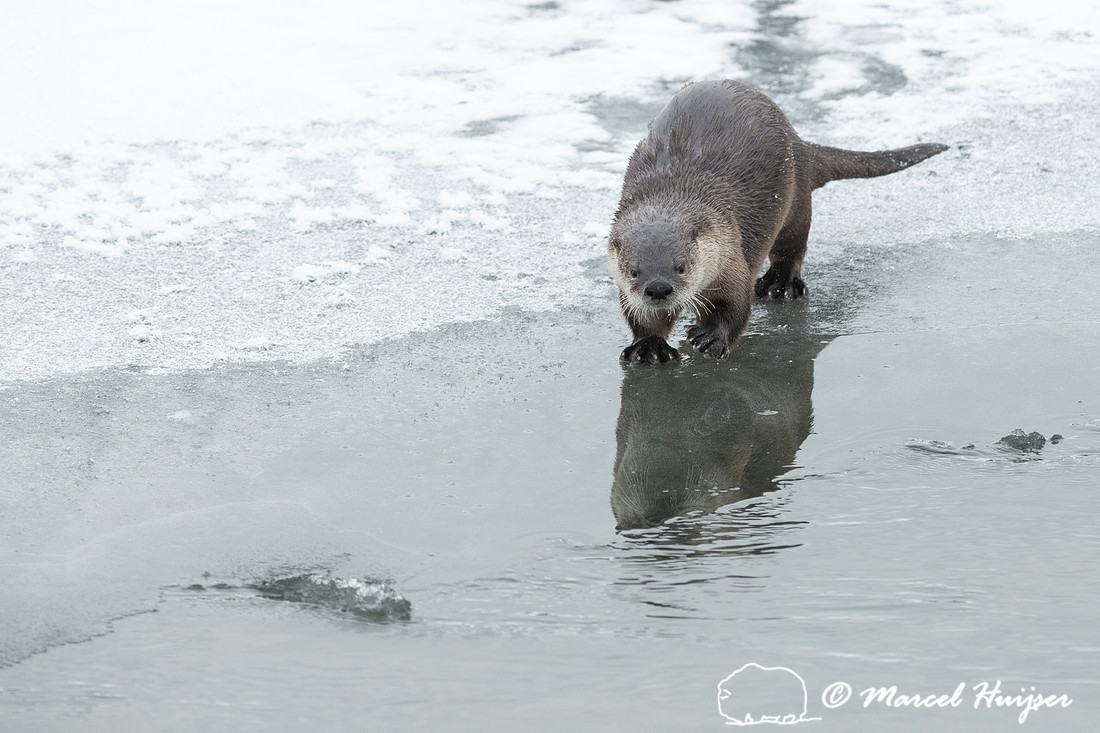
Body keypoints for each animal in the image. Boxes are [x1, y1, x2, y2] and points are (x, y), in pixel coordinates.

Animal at [608, 79, 948, 363]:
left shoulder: (729, 255)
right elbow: (643, 319)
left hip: (796, 201)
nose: (658, 288)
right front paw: (648, 347)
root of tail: (800, 143)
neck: (675, 191)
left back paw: (780, 284)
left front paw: (711, 338)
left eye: (681, 266)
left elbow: (733, 304)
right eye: (634, 271)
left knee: (792, 246)